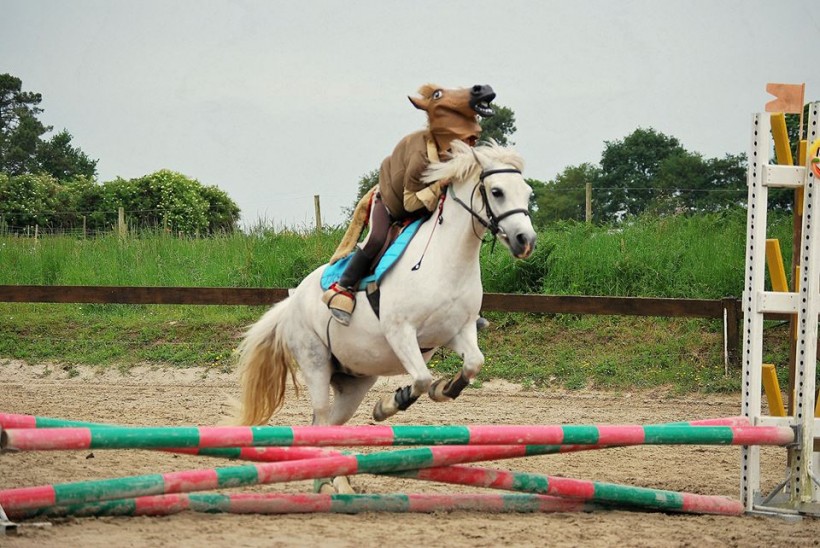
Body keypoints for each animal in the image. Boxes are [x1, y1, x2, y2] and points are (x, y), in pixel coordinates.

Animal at [232, 140, 540, 446]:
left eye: (528, 193)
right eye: (497, 192)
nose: (526, 241)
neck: (445, 260)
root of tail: (292, 301)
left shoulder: (455, 331)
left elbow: (474, 363)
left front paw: (444, 388)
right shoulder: (401, 333)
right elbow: (421, 378)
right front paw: (389, 405)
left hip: (354, 382)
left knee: (328, 423)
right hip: (315, 361)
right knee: (320, 418)